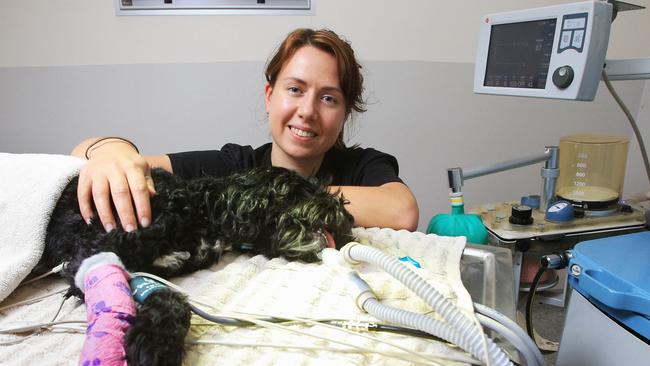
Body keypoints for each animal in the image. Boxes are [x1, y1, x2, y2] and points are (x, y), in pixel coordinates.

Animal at [38, 167, 352, 366]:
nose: (349, 220)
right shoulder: (95, 248)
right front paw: (153, 342)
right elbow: (166, 295)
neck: (203, 208)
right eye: (306, 190)